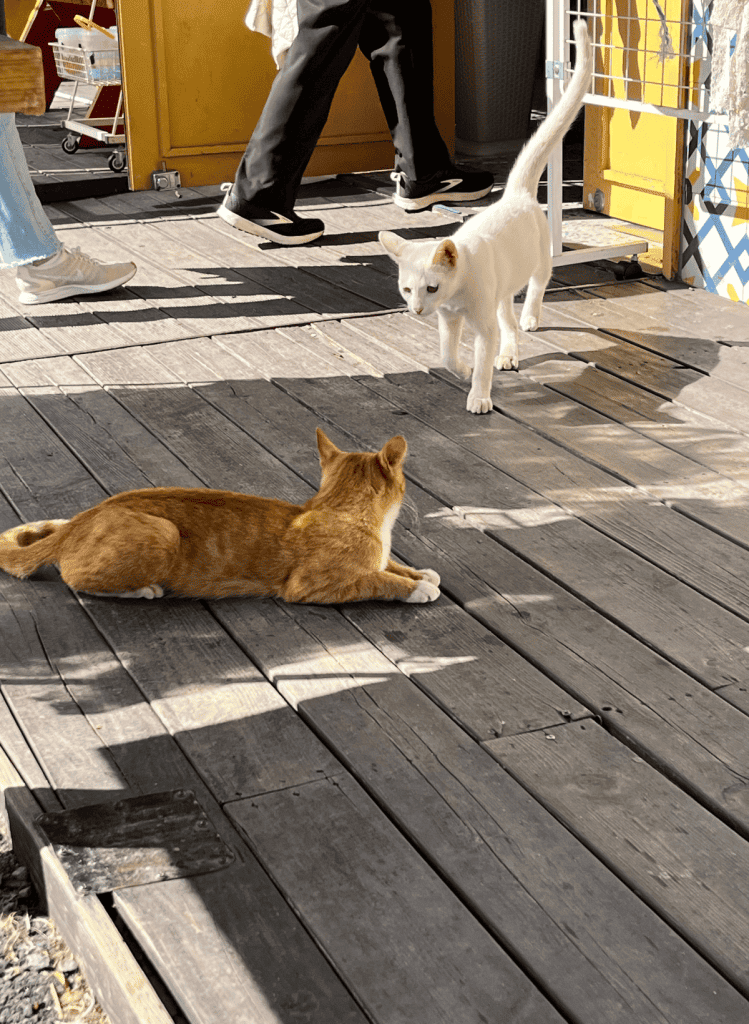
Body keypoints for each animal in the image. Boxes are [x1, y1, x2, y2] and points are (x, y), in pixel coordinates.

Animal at [0, 428, 438, 602]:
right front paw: (416, 589)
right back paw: (142, 589)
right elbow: (377, 580)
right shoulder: (310, 587)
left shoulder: (380, 557)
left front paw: (421, 574)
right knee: (76, 578)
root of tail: (85, 516)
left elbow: (393, 566)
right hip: (163, 534)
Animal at [383, 18, 594, 411]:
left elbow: (483, 360)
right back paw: (509, 354)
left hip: (540, 260)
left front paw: (478, 395)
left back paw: (530, 318)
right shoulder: (449, 320)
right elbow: (446, 355)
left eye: (431, 288)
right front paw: (463, 370)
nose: (417, 310)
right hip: (503, 288)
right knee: (506, 322)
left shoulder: (480, 323)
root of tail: (516, 194)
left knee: (535, 290)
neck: (456, 297)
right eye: (407, 289)